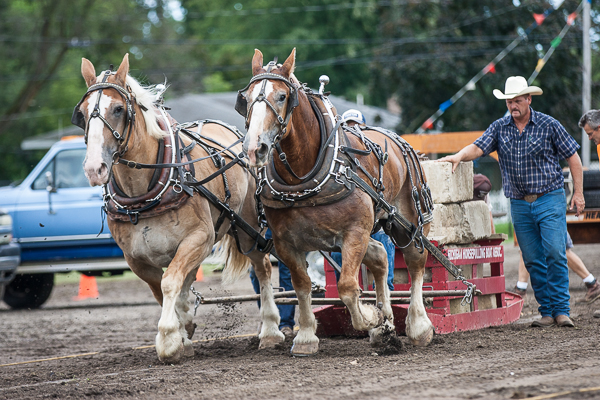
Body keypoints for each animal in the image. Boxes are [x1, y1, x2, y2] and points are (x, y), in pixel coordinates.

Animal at [75, 54, 286, 362]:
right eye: (81, 112)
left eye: (117, 108)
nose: (94, 168)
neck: (145, 195)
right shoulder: (135, 258)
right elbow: (161, 290)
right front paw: (182, 333)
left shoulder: (199, 237)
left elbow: (170, 282)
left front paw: (168, 339)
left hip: (248, 232)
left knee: (262, 269)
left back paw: (270, 330)